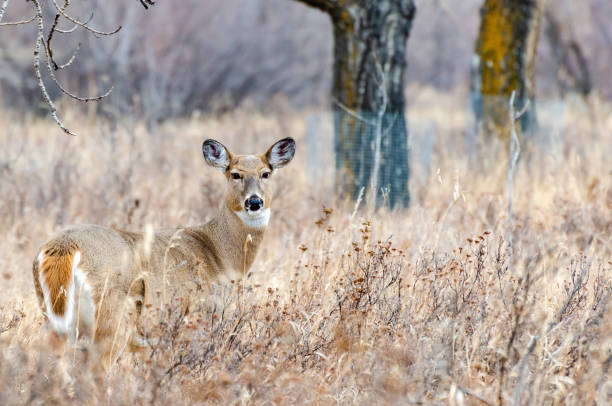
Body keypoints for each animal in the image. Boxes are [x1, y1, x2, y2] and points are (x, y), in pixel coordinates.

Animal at [33, 138, 296, 366]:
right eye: (235, 174)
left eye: (266, 173)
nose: (254, 202)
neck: (218, 253)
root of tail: (63, 247)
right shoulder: (200, 318)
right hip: (112, 315)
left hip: (55, 320)